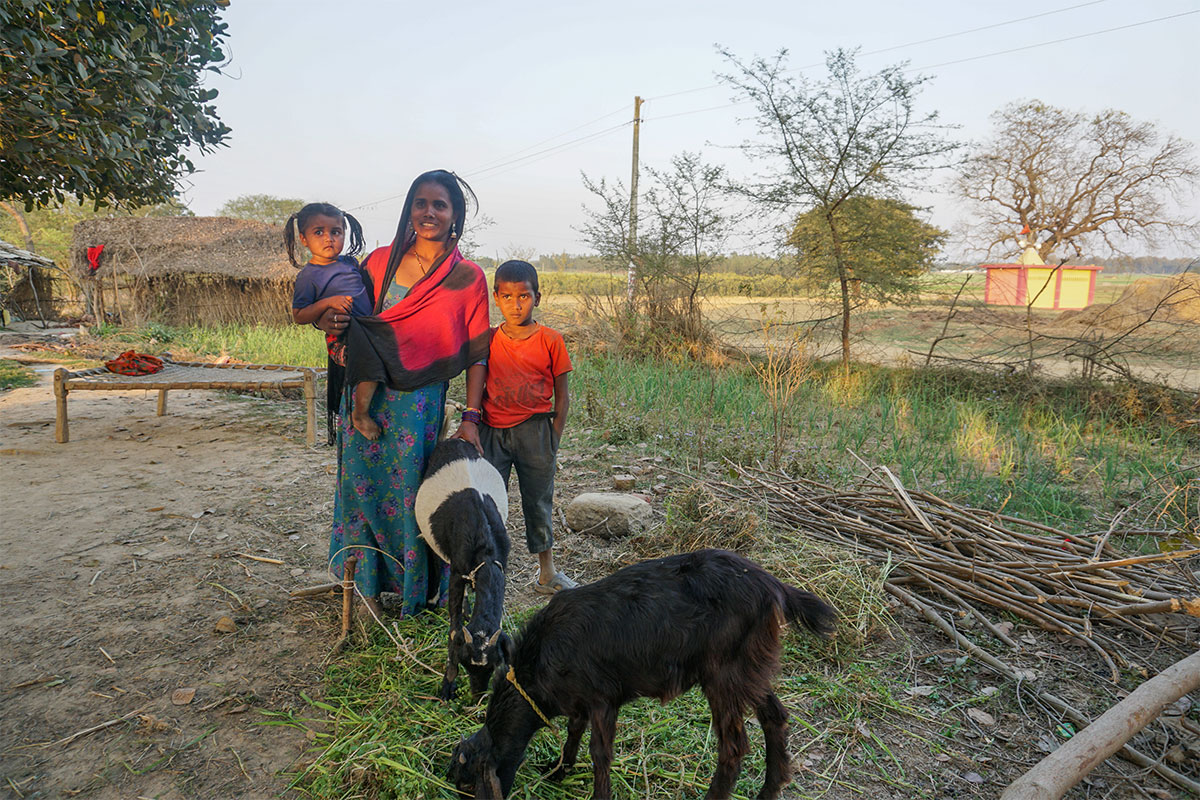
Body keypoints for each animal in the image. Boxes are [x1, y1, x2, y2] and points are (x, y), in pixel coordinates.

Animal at [415, 438, 513, 700]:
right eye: (465, 662)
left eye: (493, 665)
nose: (477, 695)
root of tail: (454, 439)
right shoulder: (458, 574)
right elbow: (453, 628)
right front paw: (448, 684)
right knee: (434, 556)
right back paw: (432, 600)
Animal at [448, 546, 835, 800]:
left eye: (468, 785)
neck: (540, 660)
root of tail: (775, 588)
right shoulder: (579, 699)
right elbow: (574, 730)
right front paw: (560, 770)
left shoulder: (603, 698)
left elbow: (600, 753)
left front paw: (597, 794)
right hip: (750, 667)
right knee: (775, 717)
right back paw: (770, 789)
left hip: (723, 676)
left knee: (734, 747)